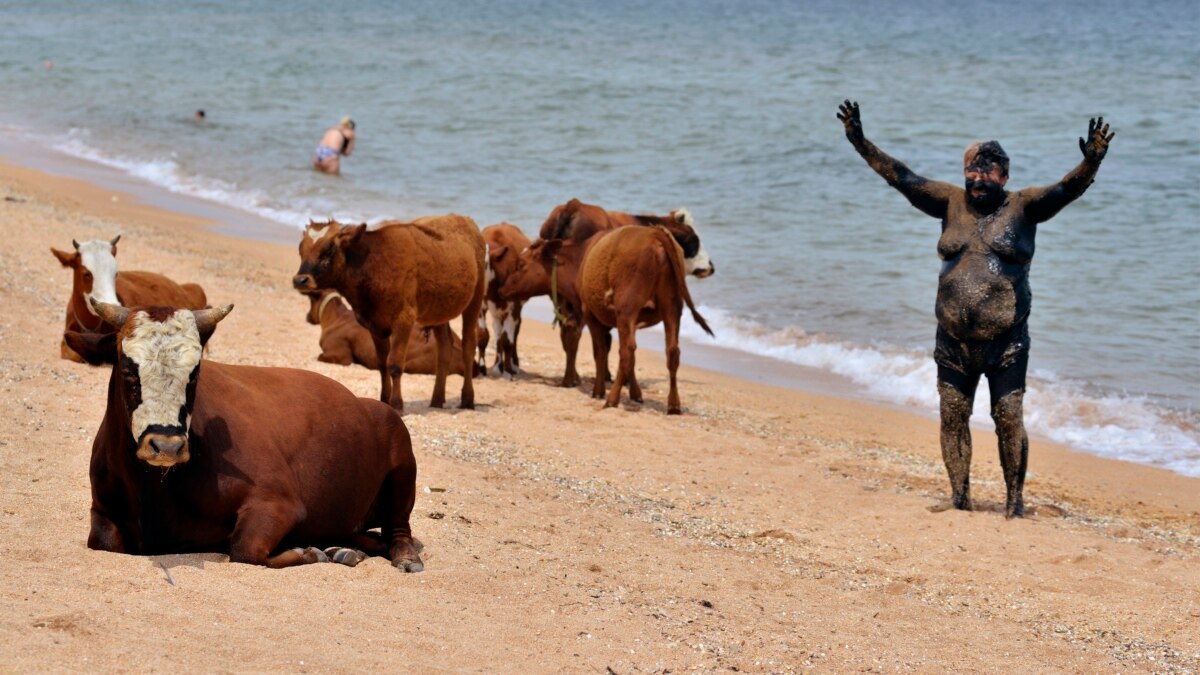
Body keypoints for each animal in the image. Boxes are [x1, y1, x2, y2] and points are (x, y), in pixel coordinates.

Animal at [292, 214, 484, 413]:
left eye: (329, 248)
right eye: (301, 247)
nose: (300, 280)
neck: (373, 264)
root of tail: (461, 218)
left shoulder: (403, 320)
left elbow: (395, 364)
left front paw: (397, 404)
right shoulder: (374, 324)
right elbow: (382, 364)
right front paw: (384, 400)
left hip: (475, 298)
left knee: (469, 346)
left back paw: (467, 399)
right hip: (438, 310)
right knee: (444, 347)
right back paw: (437, 399)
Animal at [578, 225, 710, 413]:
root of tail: (654, 232)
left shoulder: (590, 315)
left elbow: (600, 353)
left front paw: (598, 391)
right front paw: (636, 393)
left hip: (626, 310)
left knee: (626, 352)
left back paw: (612, 399)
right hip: (671, 309)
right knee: (672, 351)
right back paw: (674, 405)